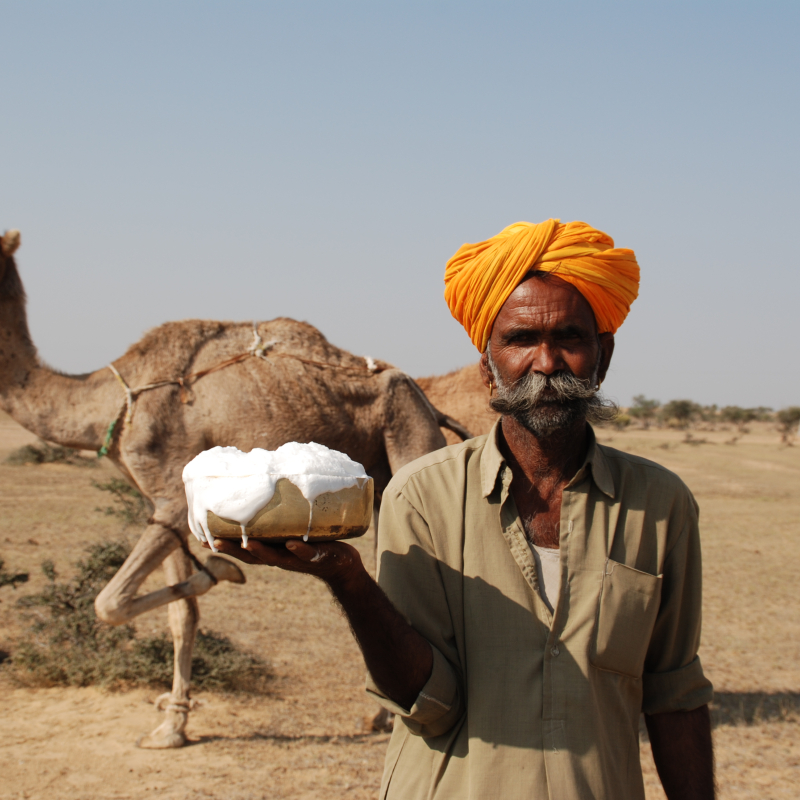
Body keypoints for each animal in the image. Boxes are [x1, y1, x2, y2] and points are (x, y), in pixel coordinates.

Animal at [0, 231, 468, 752]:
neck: (115, 402)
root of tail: (426, 398)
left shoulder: (168, 497)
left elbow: (110, 602)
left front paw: (224, 570)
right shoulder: (158, 503)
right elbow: (180, 615)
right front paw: (172, 726)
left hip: (410, 430)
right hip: (384, 478)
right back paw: (381, 715)